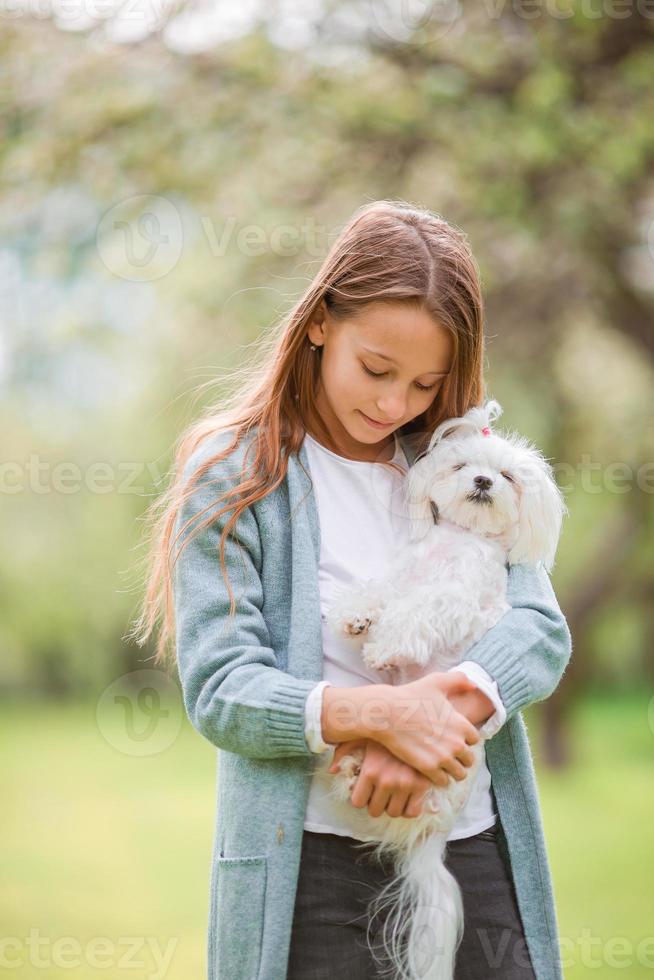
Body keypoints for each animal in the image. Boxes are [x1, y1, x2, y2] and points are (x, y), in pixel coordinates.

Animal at [322, 398, 568, 980]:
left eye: (506, 477)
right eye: (461, 466)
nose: (482, 480)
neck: (458, 543)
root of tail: (432, 838)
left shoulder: (453, 598)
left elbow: (415, 611)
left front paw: (384, 643)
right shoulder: (403, 574)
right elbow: (383, 590)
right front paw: (356, 615)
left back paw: (358, 770)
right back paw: (351, 766)